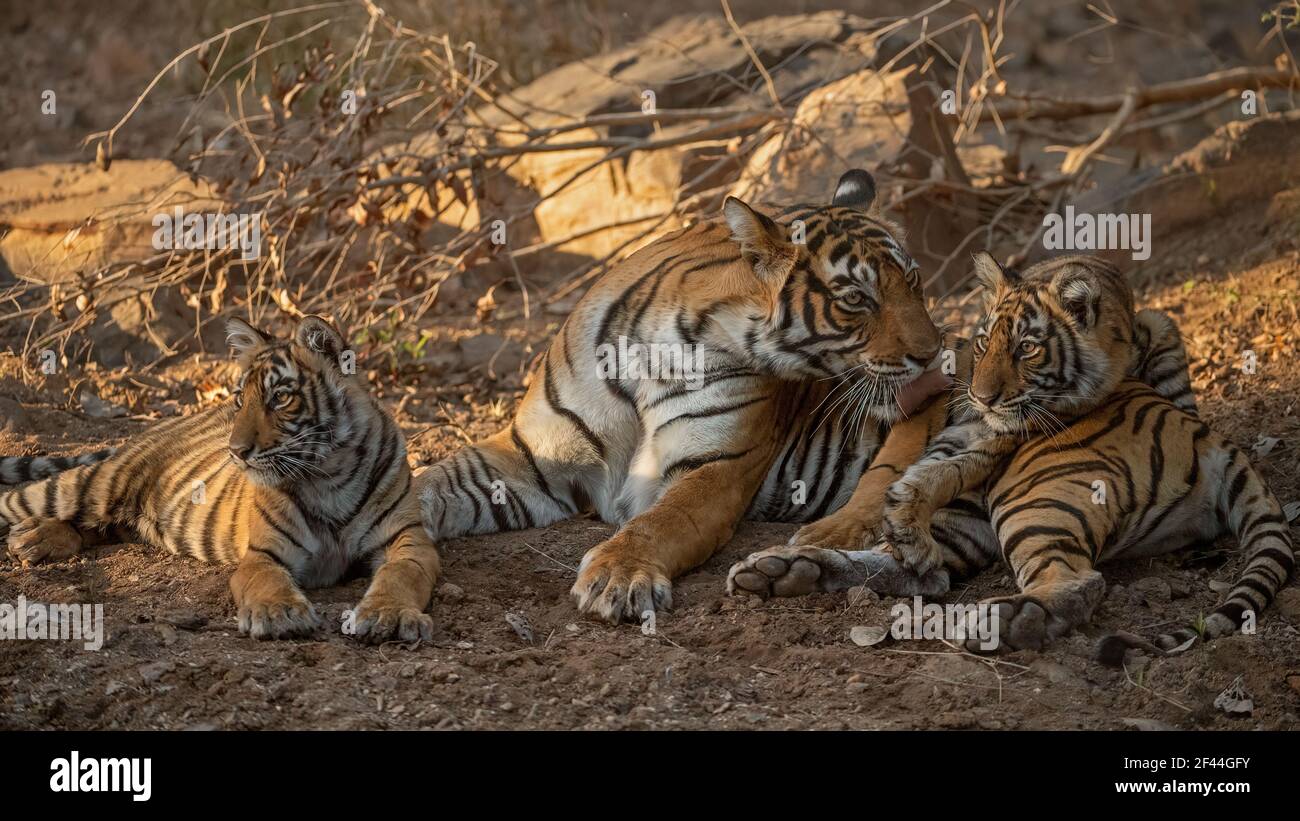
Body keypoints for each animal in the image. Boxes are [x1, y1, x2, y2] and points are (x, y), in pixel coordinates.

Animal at [0, 314, 439, 641]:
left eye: (281, 397)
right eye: (241, 398)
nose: (236, 451)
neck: (328, 473)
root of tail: (152, 428)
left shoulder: (408, 539)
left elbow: (400, 575)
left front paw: (387, 615)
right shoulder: (263, 552)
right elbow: (266, 581)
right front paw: (279, 613)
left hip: (115, 514)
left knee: (90, 527)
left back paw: (35, 539)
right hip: (90, 486)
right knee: (23, 500)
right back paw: (29, 535)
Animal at [416, 171, 967, 620]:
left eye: (913, 280)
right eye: (856, 298)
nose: (933, 355)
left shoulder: (715, 467)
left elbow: (660, 521)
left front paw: (618, 577)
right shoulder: (528, 455)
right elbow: (427, 485)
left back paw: (804, 549)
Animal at [733, 253, 1289, 652]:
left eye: (1027, 348)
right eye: (985, 344)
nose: (981, 396)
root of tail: (1207, 435)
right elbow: (916, 471)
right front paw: (895, 514)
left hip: (1036, 498)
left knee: (1077, 581)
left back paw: (1001, 619)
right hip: (978, 516)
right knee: (927, 572)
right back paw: (784, 569)